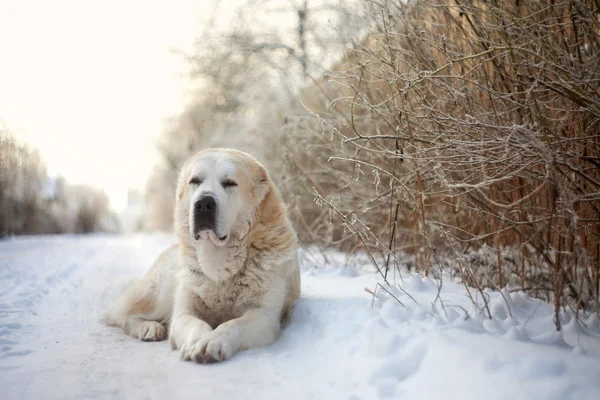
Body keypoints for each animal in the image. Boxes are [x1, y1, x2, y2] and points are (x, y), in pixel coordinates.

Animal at [105, 149, 300, 362]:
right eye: (195, 181)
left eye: (230, 183)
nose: (204, 203)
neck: (219, 265)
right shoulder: (183, 312)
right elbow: (195, 324)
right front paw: (197, 342)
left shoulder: (264, 316)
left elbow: (232, 324)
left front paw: (212, 341)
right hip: (161, 290)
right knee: (122, 315)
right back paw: (149, 328)